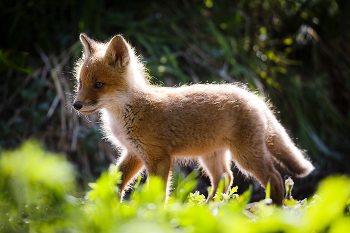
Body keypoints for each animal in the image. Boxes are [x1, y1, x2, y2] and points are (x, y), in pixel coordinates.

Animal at [74, 33, 314, 204]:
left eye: (99, 85)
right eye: (80, 83)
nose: (76, 105)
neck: (128, 113)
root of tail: (253, 96)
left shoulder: (159, 157)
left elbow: (158, 194)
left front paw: (152, 215)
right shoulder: (134, 153)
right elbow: (118, 181)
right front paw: (109, 207)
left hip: (245, 156)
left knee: (274, 177)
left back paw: (274, 211)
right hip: (211, 156)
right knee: (225, 178)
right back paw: (210, 209)